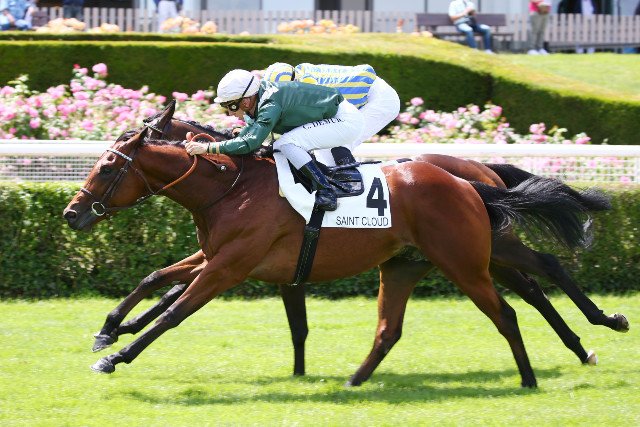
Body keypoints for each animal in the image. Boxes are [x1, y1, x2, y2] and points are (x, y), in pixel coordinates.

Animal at [63, 107, 612, 388]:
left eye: (107, 167)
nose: (72, 213)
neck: (231, 185)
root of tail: (473, 178)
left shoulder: (229, 266)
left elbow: (174, 311)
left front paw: (117, 353)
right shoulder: (216, 257)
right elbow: (156, 279)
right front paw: (109, 329)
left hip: (475, 255)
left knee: (531, 285)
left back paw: (576, 344)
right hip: (435, 260)